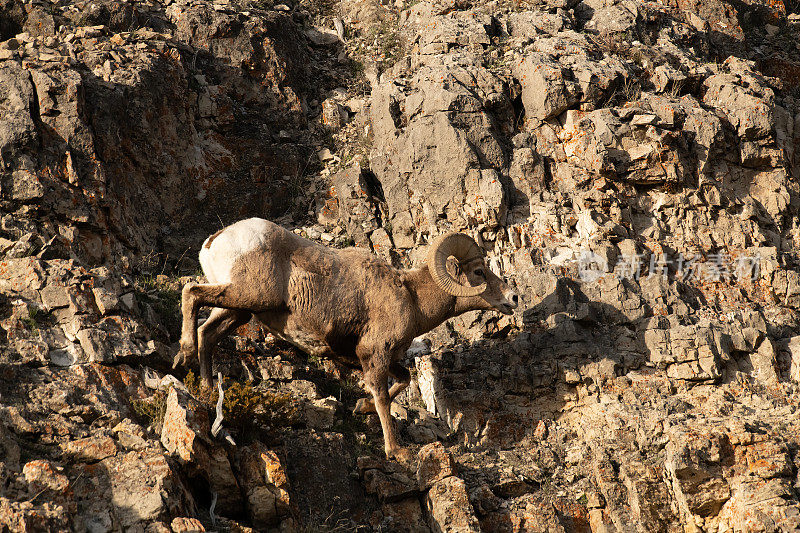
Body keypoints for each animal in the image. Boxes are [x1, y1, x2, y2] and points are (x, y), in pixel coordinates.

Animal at [173, 218, 520, 460]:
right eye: (479, 272)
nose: (513, 298)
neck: (412, 297)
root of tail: (216, 241)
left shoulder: (375, 358)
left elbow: (402, 380)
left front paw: (360, 408)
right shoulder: (375, 353)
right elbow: (383, 398)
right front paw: (396, 451)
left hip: (240, 310)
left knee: (207, 332)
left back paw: (204, 387)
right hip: (250, 295)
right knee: (191, 293)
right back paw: (183, 355)